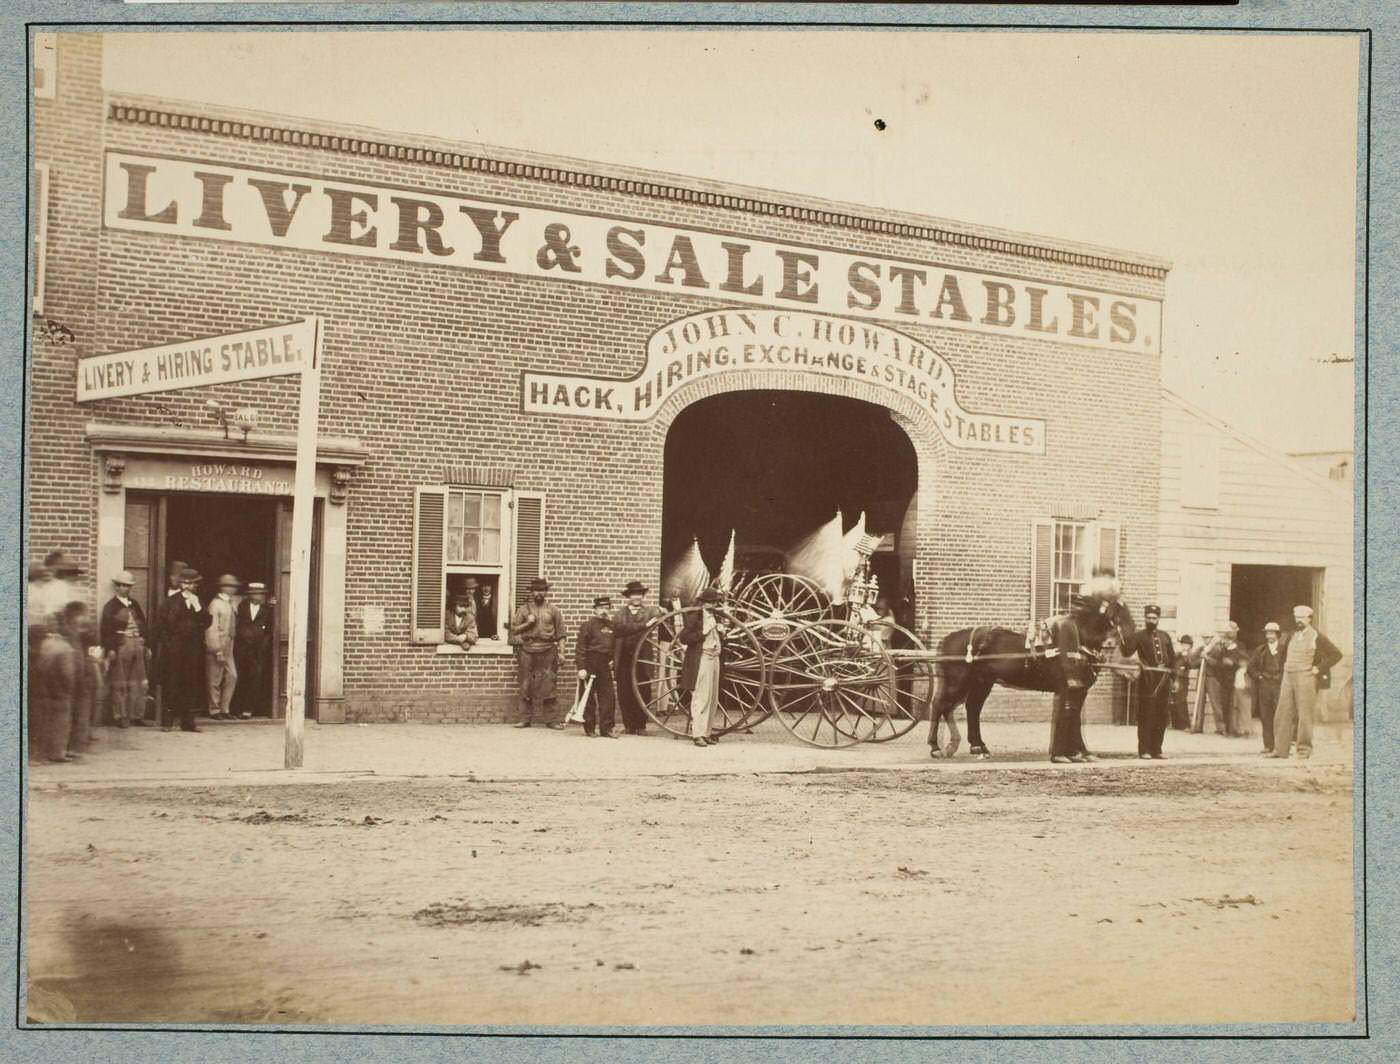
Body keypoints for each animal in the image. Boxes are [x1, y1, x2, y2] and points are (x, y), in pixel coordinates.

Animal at [929, 599, 1136, 767]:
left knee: (970, 708)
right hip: (959, 682)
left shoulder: (1079, 690)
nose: (1130, 644)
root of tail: (949, 639)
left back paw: (977, 747)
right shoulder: (1069, 689)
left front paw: (1080, 753)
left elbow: (1074, 718)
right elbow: (1071, 718)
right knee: (941, 706)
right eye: (1118, 613)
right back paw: (936, 747)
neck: (1077, 640)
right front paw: (1070, 754)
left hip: (981, 683)